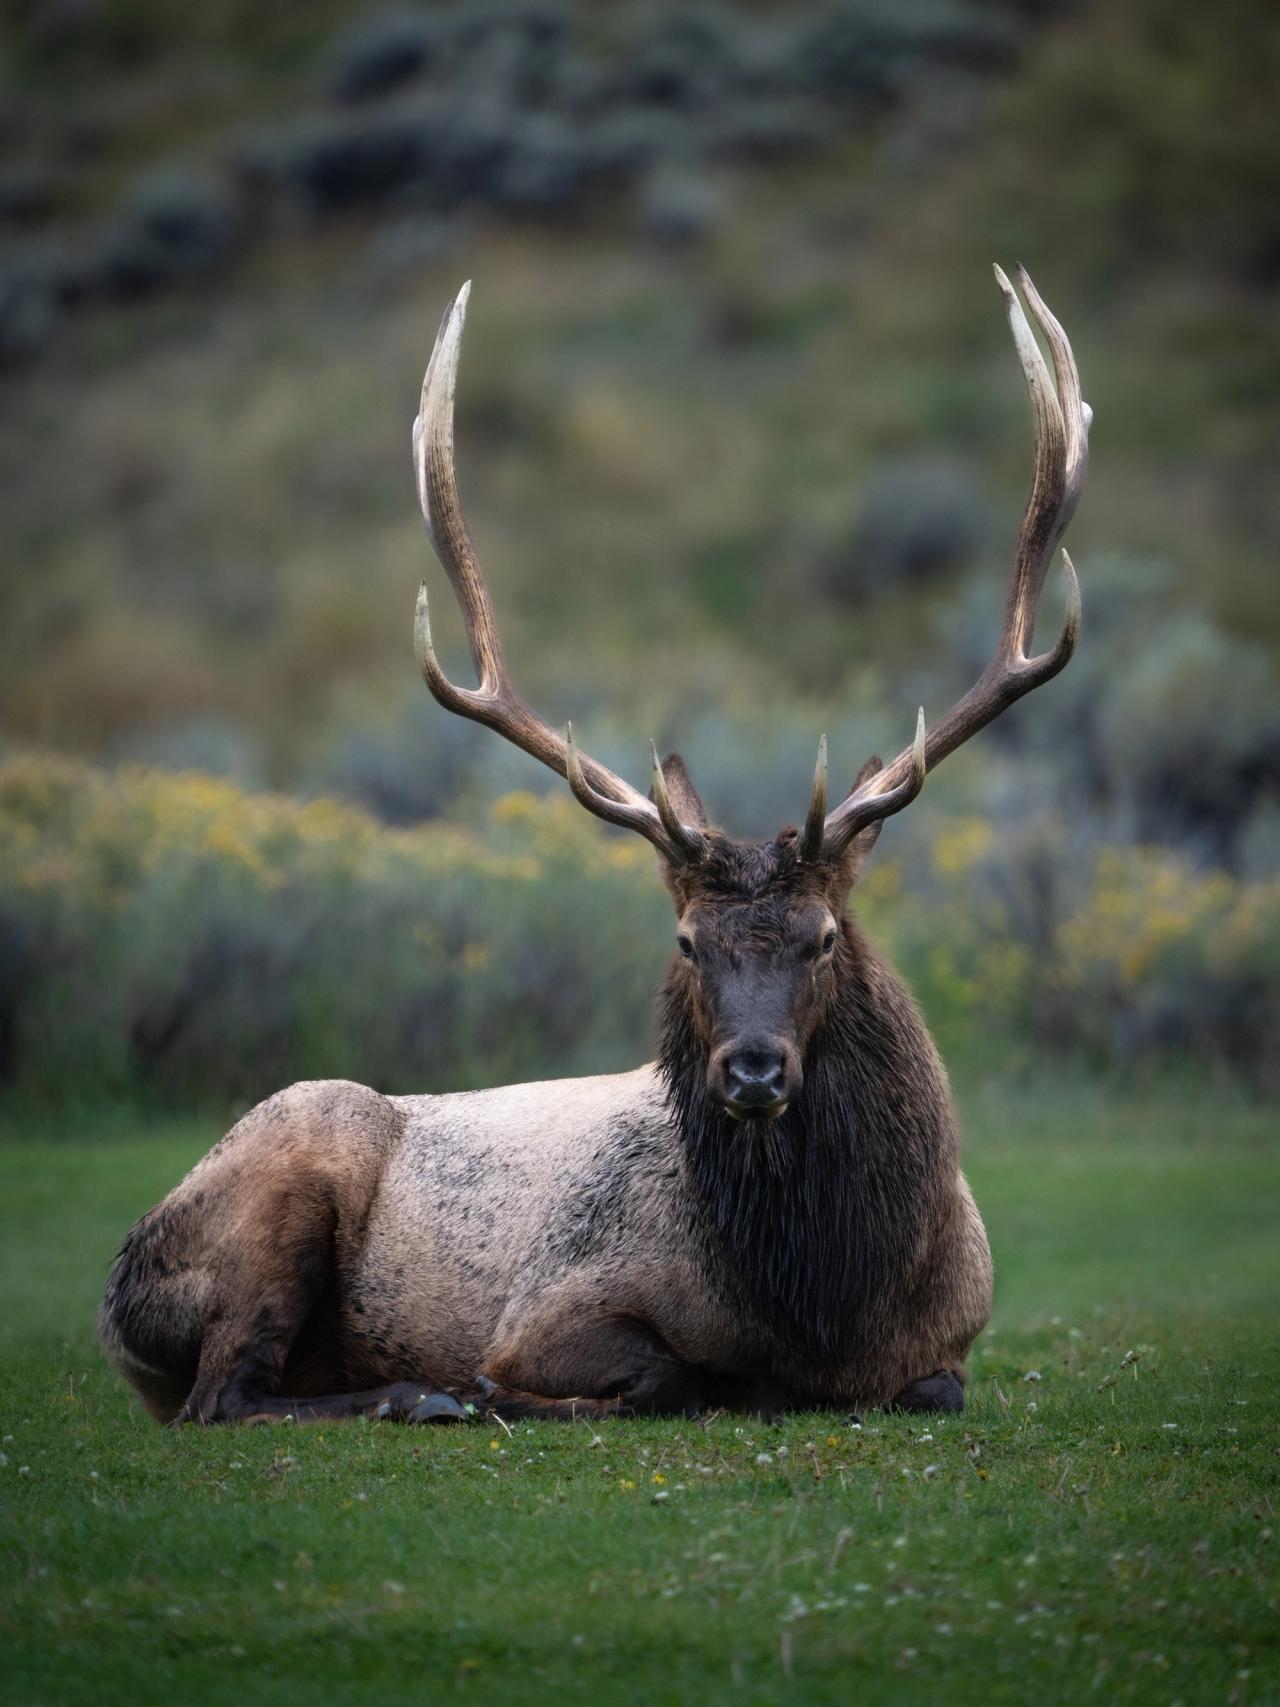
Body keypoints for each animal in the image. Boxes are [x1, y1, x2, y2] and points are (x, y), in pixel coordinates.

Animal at [100, 266, 1089, 1426]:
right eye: (687, 942)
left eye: (823, 936)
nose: (753, 1068)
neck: (827, 1313)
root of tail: (118, 1291)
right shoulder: (552, 1303)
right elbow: (668, 1377)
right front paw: (498, 1388)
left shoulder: (951, 1346)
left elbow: (931, 1389)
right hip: (288, 1167)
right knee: (226, 1392)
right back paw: (422, 1396)